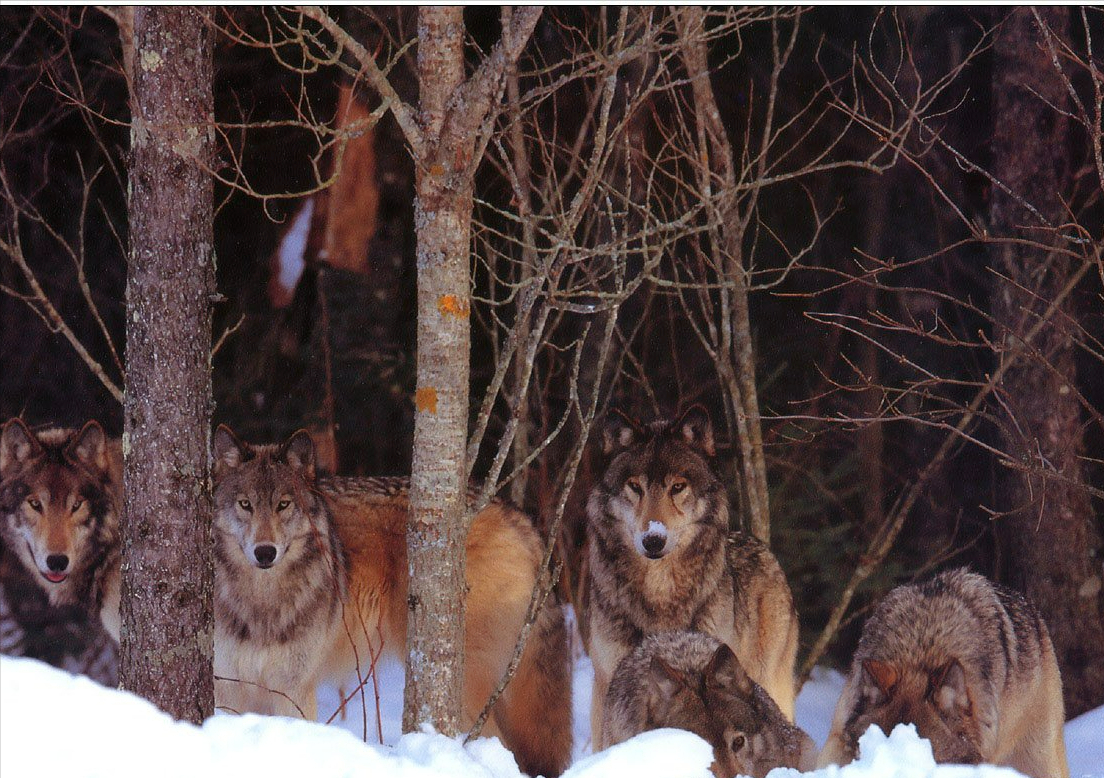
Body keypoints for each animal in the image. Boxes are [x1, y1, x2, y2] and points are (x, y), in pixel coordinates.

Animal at [582, 406, 799, 745]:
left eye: (677, 487)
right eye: (635, 487)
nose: (653, 540)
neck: (659, 594)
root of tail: (762, 546)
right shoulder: (610, 688)